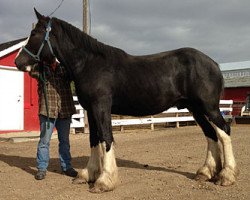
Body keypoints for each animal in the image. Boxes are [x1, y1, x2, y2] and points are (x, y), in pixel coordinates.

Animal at [15, 9, 238, 192]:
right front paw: (88, 174)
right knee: (211, 135)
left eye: (34, 34)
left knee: (223, 132)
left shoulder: (101, 107)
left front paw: (104, 181)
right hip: (195, 109)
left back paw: (226, 176)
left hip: (209, 107)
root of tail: (213, 63)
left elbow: (106, 138)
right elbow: (93, 139)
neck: (89, 63)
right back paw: (206, 172)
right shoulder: (90, 110)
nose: (18, 62)